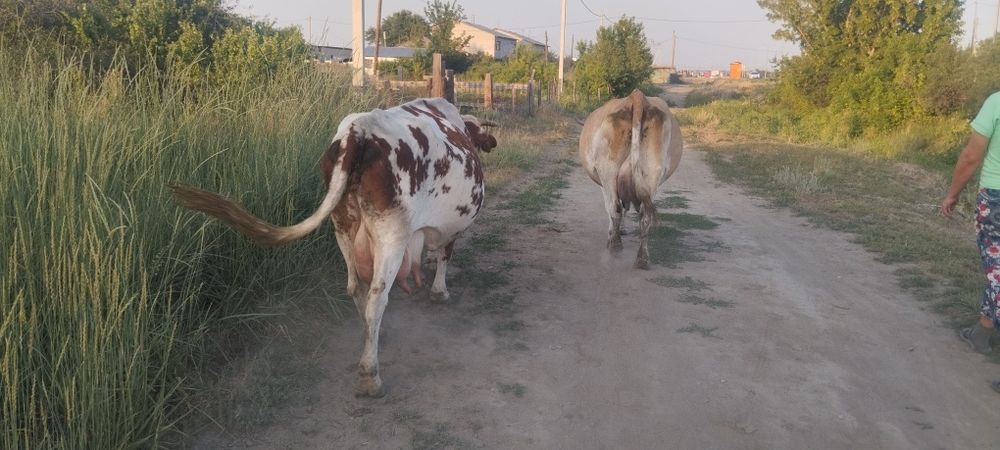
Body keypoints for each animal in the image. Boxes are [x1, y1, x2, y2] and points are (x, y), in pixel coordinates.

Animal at [170, 98, 497, 397]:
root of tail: (360, 130)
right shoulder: (451, 227)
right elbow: (444, 256)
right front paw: (439, 292)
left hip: (343, 227)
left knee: (356, 289)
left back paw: (372, 338)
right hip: (391, 233)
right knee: (376, 297)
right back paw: (370, 376)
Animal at [578, 89, 683, 269]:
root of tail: (637, 96)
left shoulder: (602, 182)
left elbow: (610, 208)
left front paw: (613, 233)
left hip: (608, 168)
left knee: (614, 208)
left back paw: (615, 245)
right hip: (652, 172)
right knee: (645, 214)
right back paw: (642, 259)